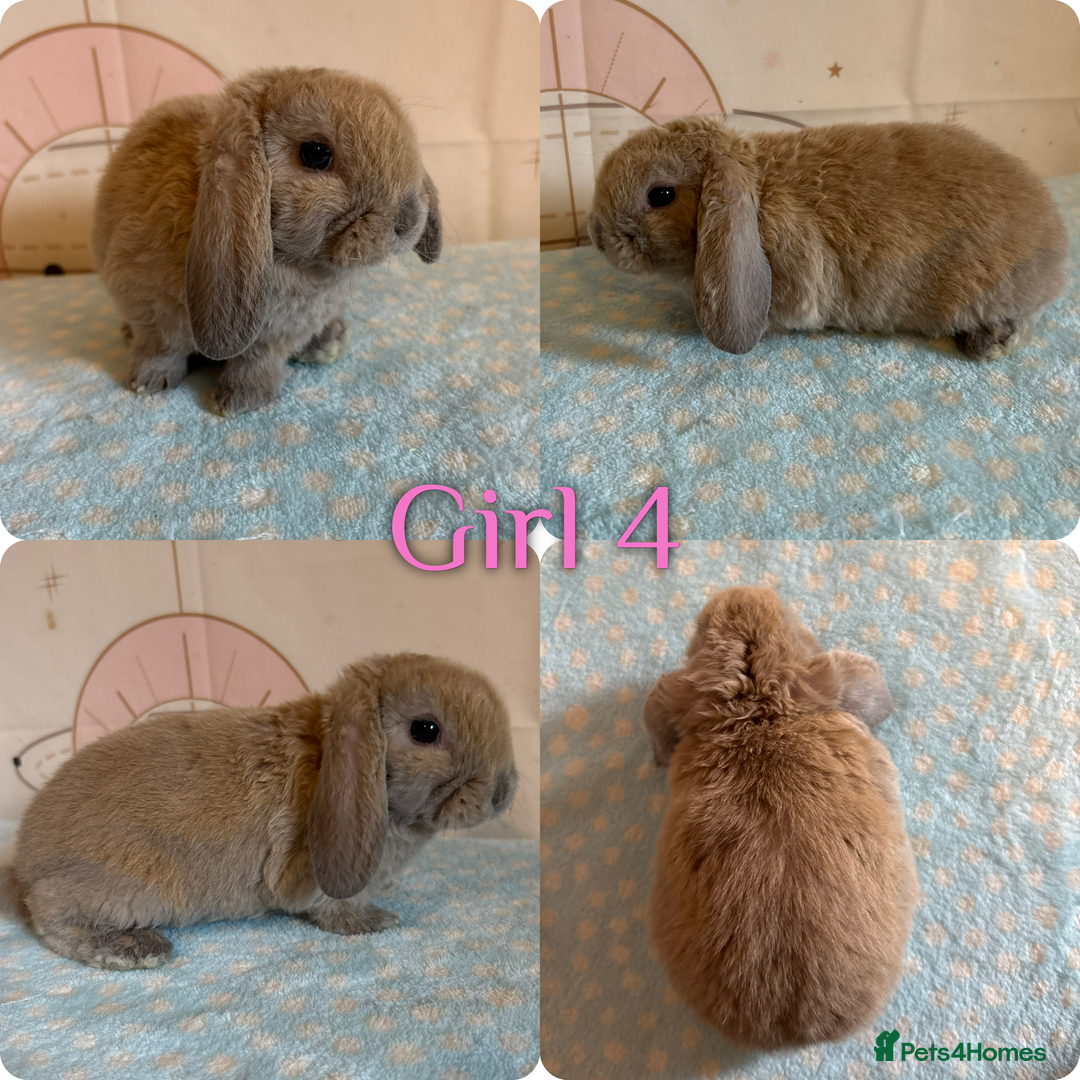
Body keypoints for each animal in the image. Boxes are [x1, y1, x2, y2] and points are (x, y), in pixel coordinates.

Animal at [2, 653, 516, 969]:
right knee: (49, 915)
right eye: (425, 730)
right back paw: (134, 949)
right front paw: (374, 922)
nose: (502, 793)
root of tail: (24, 862)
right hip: (133, 885)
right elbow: (334, 910)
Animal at [91, 67, 442, 415]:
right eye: (317, 153)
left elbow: (257, 361)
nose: (407, 220)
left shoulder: (281, 333)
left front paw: (243, 400)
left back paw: (329, 340)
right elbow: (162, 349)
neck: (284, 259)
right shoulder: (149, 306)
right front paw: (149, 383)